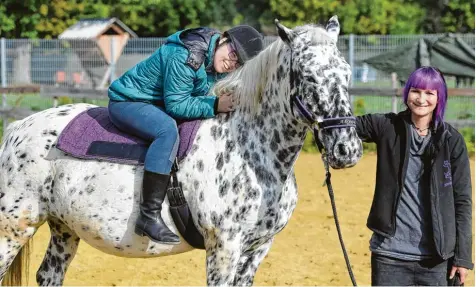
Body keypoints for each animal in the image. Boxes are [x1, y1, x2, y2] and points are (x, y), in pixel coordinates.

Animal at [0, 16, 362, 286]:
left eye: (346, 72)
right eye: (308, 75)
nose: (348, 149)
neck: (249, 149)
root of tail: (17, 129)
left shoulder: (257, 249)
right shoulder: (224, 248)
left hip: (63, 228)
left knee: (48, 275)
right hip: (13, 228)